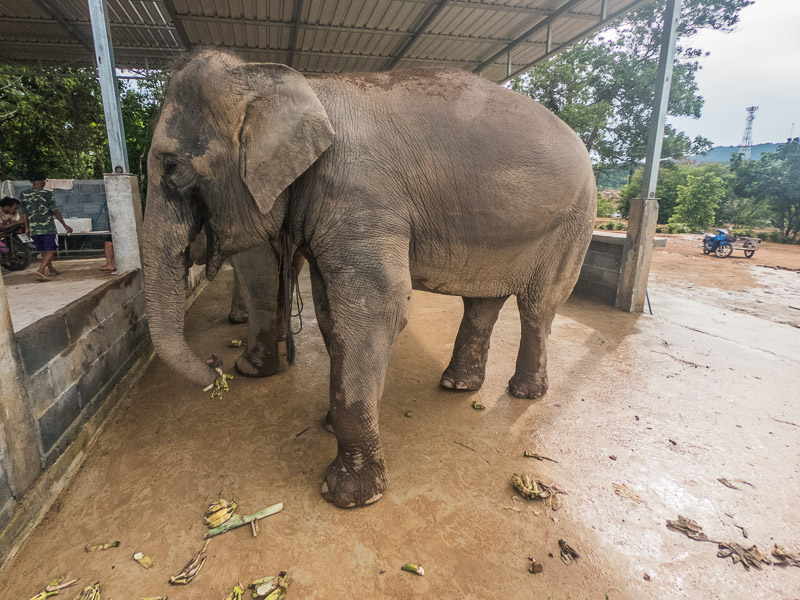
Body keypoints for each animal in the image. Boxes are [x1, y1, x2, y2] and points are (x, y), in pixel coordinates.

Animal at [142, 51, 592, 508]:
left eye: (172, 167)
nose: (218, 366)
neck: (293, 84)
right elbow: (328, 312)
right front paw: (328, 425)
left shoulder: (359, 193)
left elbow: (378, 308)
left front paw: (348, 495)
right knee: (482, 302)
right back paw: (458, 385)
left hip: (574, 222)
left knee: (537, 306)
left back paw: (522, 392)